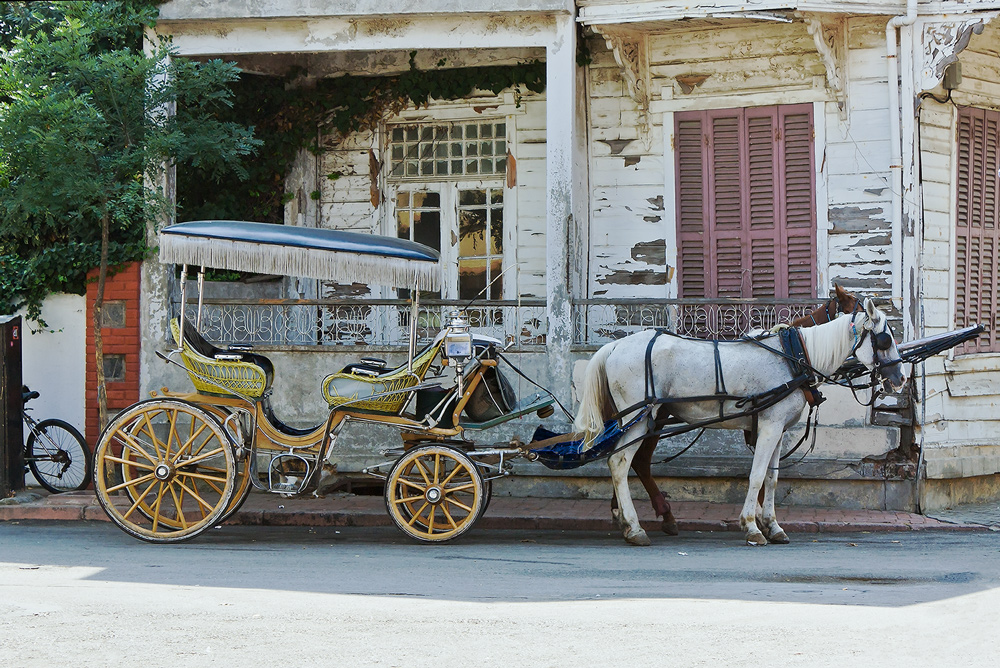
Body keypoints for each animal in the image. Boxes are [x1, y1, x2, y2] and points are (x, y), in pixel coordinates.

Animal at [576, 298, 912, 548]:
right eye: (885, 339)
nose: (901, 378)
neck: (794, 357)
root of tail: (614, 347)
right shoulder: (768, 426)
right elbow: (756, 476)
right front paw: (752, 526)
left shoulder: (778, 429)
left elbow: (772, 478)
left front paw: (773, 526)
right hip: (639, 419)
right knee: (620, 462)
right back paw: (634, 527)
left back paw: (628, 521)